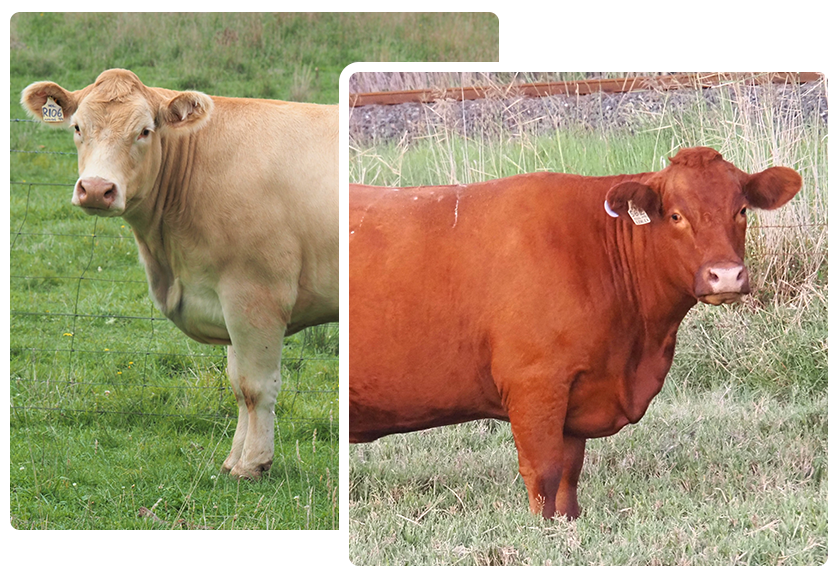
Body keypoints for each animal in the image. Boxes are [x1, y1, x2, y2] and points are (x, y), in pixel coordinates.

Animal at [22, 69, 338, 480]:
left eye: (144, 131)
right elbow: (237, 387)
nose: (95, 189)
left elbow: (255, 387)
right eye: (77, 127)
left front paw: (253, 463)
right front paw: (232, 460)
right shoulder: (227, 300)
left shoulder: (256, 296)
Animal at [348, 147, 801, 519]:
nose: (725, 274)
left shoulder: (576, 392)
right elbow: (544, 471)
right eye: (676, 215)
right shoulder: (535, 384)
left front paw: (568, 523)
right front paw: (541, 530)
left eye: (741, 210)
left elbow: (569, 473)